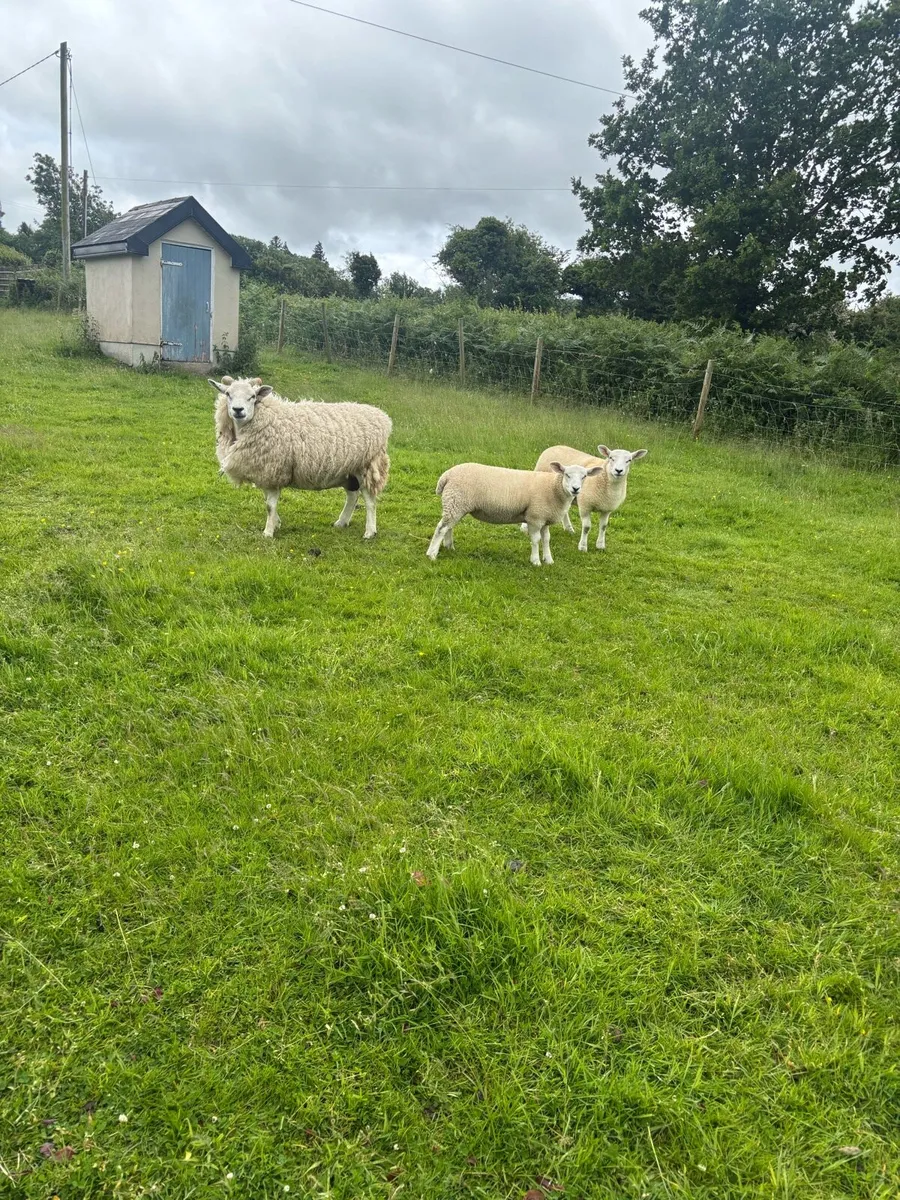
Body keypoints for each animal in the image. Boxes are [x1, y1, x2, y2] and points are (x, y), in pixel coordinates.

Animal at [209, 375, 391, 539]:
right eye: (228, 394)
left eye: (252, 396)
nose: (238, 410)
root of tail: (383, 417)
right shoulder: (266, 474)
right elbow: (267, 501)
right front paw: (276, 523)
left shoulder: (274, 470)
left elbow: (269, 505)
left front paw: (268, 532)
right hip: (348, 469)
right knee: (352, 495)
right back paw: (341, 522)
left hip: (366, 466)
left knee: (369, 500)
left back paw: (370, 532)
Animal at [427, 461, 601, 566]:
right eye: (567, 474)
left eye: (584, 476)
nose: (575, 489)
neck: (553, 488)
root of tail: (446, 475)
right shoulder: (534, 517)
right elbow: (536, 540)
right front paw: (535, 561)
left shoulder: (544, 518)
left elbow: (546, 540)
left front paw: (549, 559)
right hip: (455, 501)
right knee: (441, 528)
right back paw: (432, 554)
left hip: (456, 504)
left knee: (448, 527)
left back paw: (449, 546)